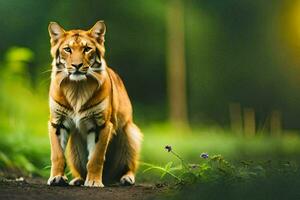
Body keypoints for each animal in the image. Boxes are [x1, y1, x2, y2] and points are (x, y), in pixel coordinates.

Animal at [47, 20, 143, 188]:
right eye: (67, 49)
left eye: (87, 49)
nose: (77, 65)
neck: (77, 88)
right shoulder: (57, 122)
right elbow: (57, 154)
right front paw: (57, 178)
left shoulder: (101, 124)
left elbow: (95, 158)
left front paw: (93, 182)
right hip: (74, 146)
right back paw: (77, 180)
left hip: (130, 133)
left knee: (129, 166)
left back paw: (126, 178)